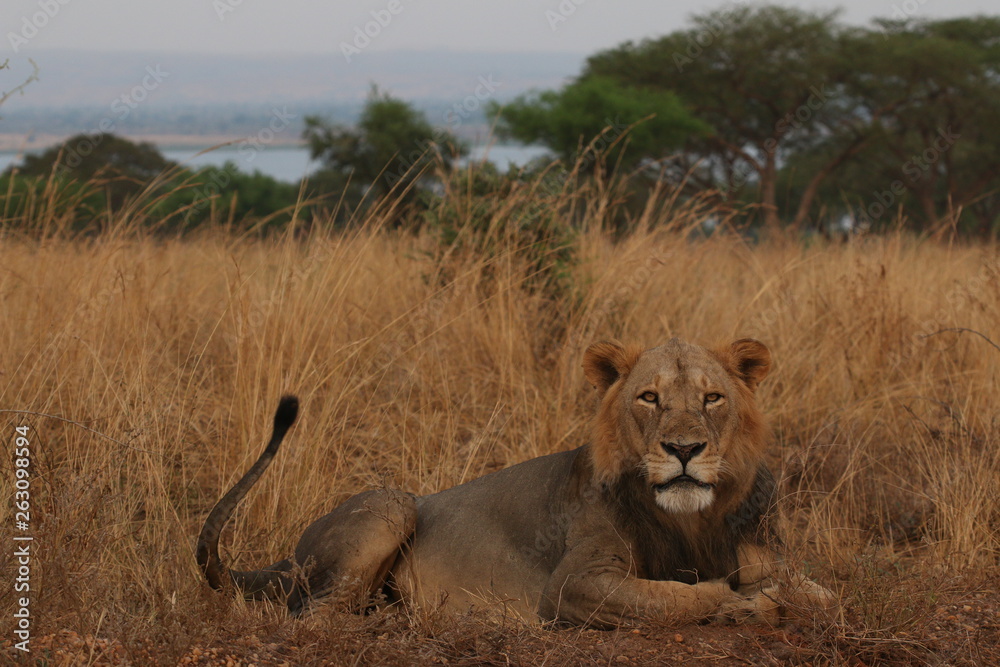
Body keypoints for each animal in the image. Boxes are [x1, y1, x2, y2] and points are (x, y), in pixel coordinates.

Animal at [197, 337, 839, 627]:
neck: (691, 519)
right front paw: (743, 602)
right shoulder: (574, 583)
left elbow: (819, 592)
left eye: (712, 399)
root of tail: (290, 555)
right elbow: (676, 597)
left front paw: (779, 595)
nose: (683, 449)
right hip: (390, 503)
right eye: (649, 398)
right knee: (312, 614)